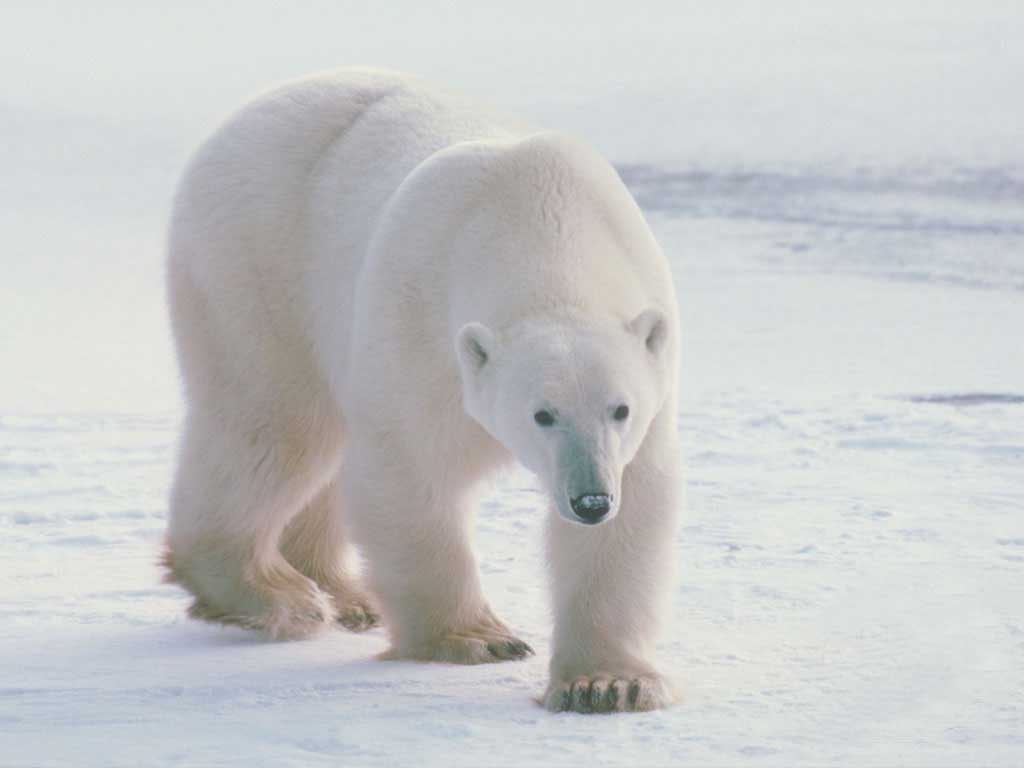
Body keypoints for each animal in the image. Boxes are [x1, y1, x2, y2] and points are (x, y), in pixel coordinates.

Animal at [163, 68, 682, 713]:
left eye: (620, 409)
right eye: (541, 414)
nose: (590, 500)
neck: (537, 216)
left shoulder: (647, 379)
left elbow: (635, 506)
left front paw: (608, 684)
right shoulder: (421, 323)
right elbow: (408, 470)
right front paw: (478, 638)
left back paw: (345, 594)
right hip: (256, 263)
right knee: (274, 425)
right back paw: (276, 595)